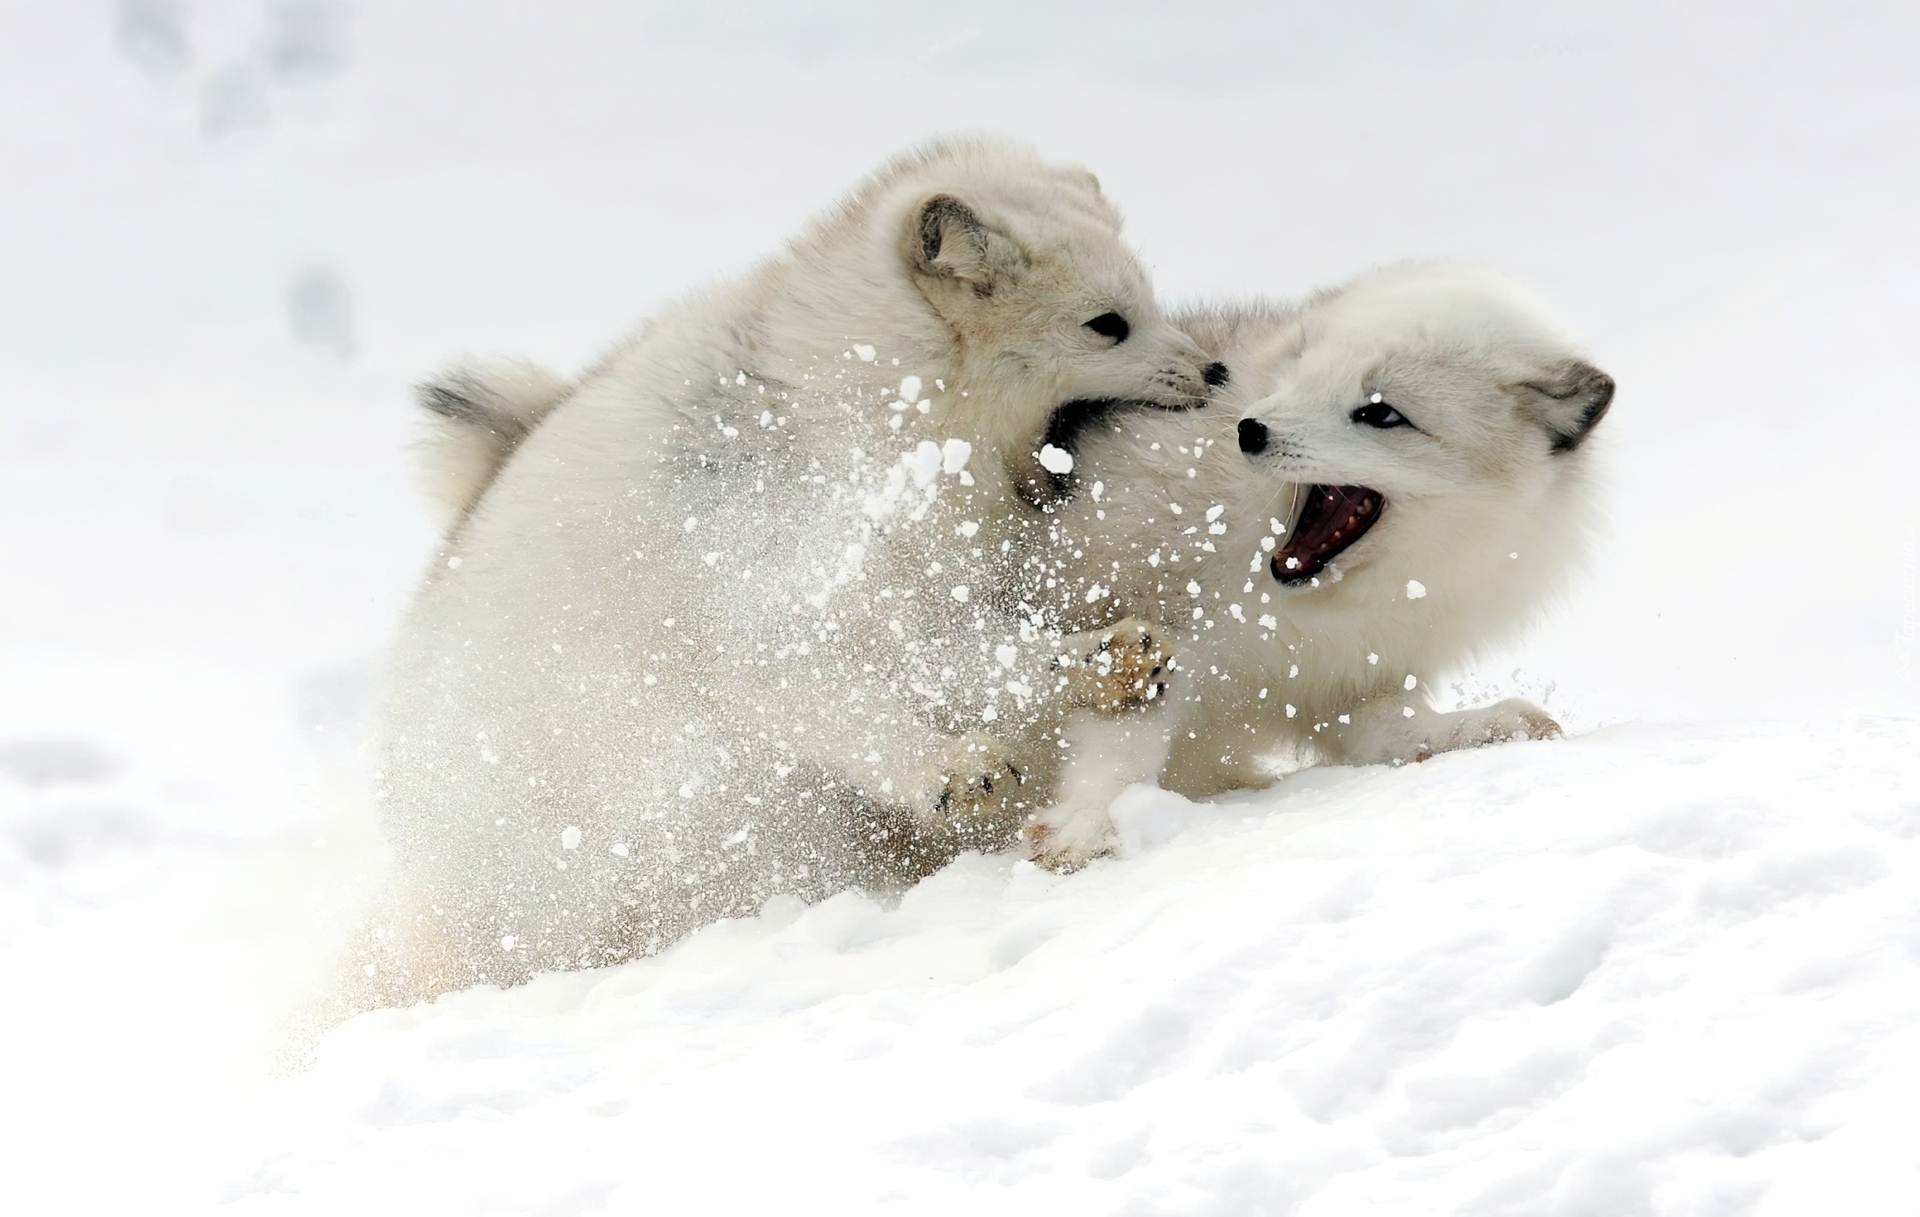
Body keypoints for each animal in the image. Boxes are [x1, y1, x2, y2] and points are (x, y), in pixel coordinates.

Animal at [366, 137, 1221, 998]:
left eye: (1149, 301)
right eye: (1107, 325)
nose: (1216, 372)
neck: (857, 404)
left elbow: (989, 653)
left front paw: (1114, 659)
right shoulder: (774, 598)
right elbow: (865, 694)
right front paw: (954, 770)